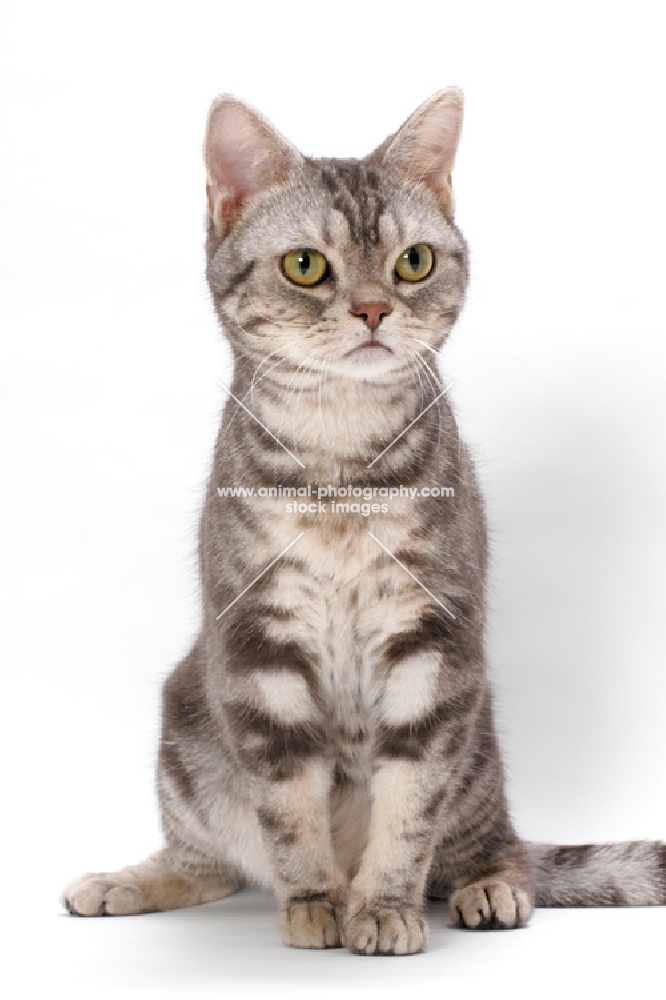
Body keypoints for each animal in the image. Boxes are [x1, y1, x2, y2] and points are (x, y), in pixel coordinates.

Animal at [59, 88, 660, 952]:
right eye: (306, 265)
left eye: (414, 261)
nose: (374, 309)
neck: (340, 464)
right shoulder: (257, 649)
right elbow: (286, 809)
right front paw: (315, 903)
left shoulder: (434, 645)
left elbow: (409, 808)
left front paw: (380, 907)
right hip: (187, 732)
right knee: (207, 862)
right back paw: (123, 882)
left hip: (477, 751)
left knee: (505, 848)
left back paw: (486, 890)